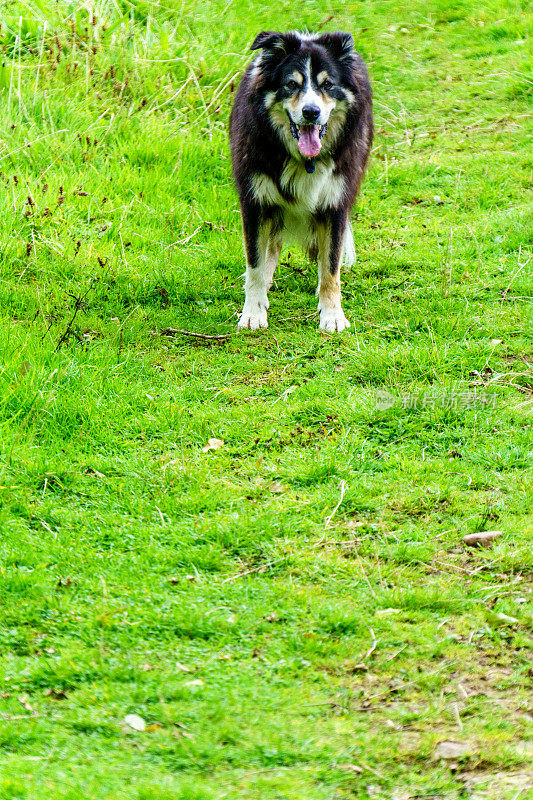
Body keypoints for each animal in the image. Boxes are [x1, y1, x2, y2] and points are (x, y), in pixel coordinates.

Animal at [228, 31, 370, 332]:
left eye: (327, 84)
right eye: (291, 84)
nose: (311, 112)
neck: (303, 159)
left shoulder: (335, 203)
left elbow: (331, 267)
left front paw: (332, 314)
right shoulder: (255, 200)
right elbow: (254, 262)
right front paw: (253, 312)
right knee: (270, 247)